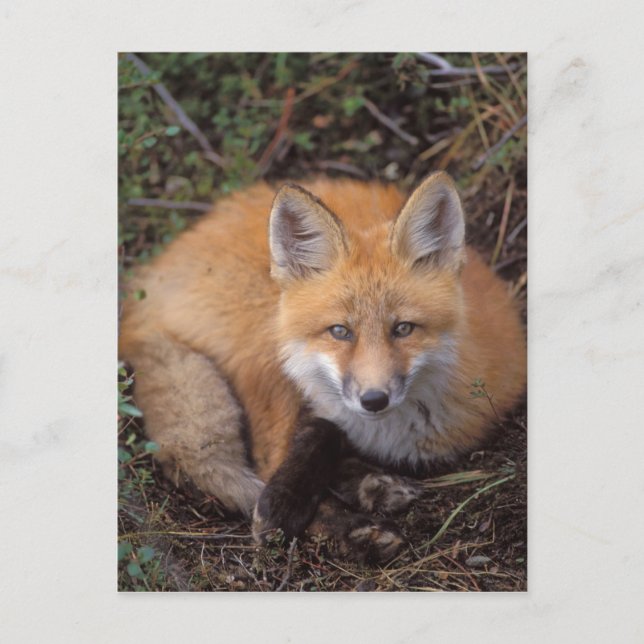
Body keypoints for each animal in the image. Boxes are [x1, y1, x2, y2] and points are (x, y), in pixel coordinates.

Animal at [119, 172, 526, 562]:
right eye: (340, 331)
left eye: (403, 329)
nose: (373, 400)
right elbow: (314, 437)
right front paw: (291, 510)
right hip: (266, 344)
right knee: (265, 461)